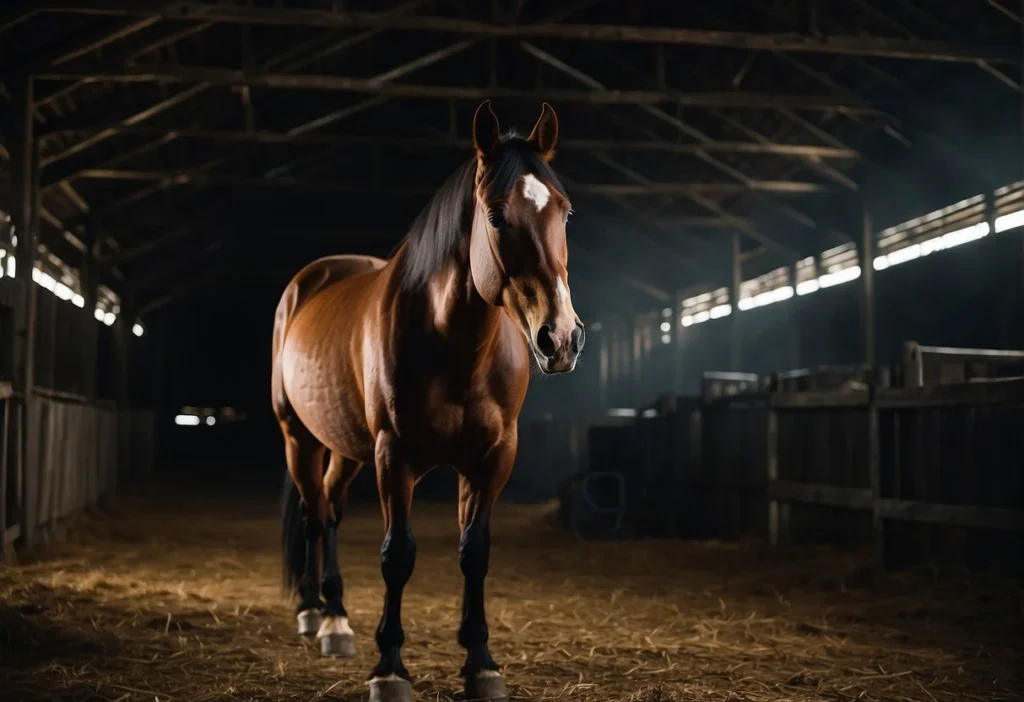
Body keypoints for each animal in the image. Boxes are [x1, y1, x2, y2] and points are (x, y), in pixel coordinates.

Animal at [274, 100, 585, 702]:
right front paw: (391, 668)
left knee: (331, 509)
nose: (561, 338)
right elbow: (398, 555)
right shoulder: (394, 455)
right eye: (495, 217)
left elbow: (475, 551)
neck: (454, 345)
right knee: (314, 513)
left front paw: (481, 663)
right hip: (300, 438)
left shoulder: (493, 458)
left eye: (565, 212)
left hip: (345, 448)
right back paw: (314, 614)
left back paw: (336, 617)